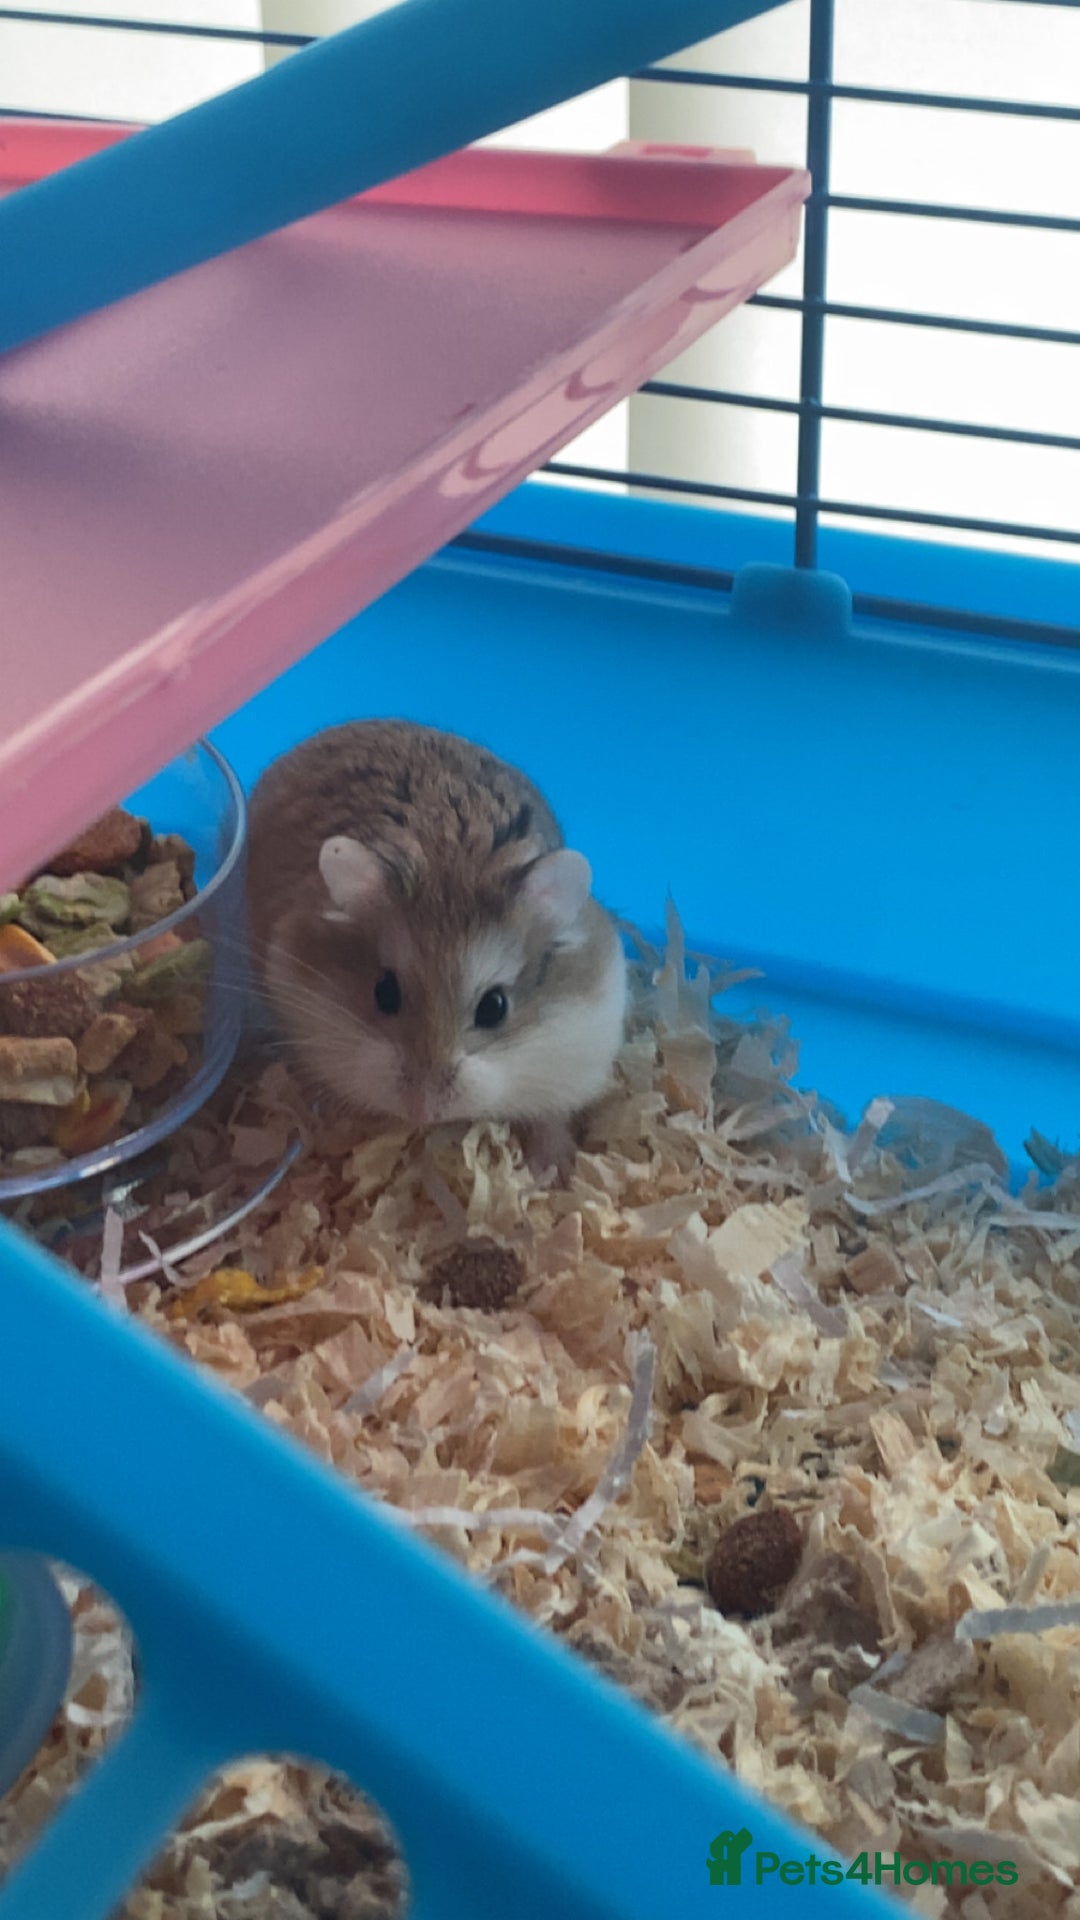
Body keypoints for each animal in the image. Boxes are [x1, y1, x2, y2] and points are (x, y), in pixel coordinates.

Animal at [246, 720, 628, 1173]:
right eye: (384, 993)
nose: (423, 1111)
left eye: (495, 1007)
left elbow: (549, 1118)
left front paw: (552, 1169)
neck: (452, 857)